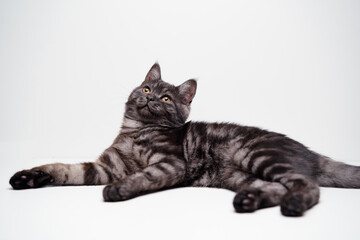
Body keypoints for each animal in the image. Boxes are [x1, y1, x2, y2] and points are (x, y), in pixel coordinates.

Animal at [9, 62, 360, 217]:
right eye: (147, 89)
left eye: (166, 99)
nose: (151, 98)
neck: (135, 130)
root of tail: (309, 151)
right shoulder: (105, 167)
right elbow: (64, 168)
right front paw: (30, 176)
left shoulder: (171, 163)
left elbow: (144, 175)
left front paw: (119, 190)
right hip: (241, 174)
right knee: (276, 186)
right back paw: (249, 200)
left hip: (257, 154)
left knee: (306, 185)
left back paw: (293, 204)